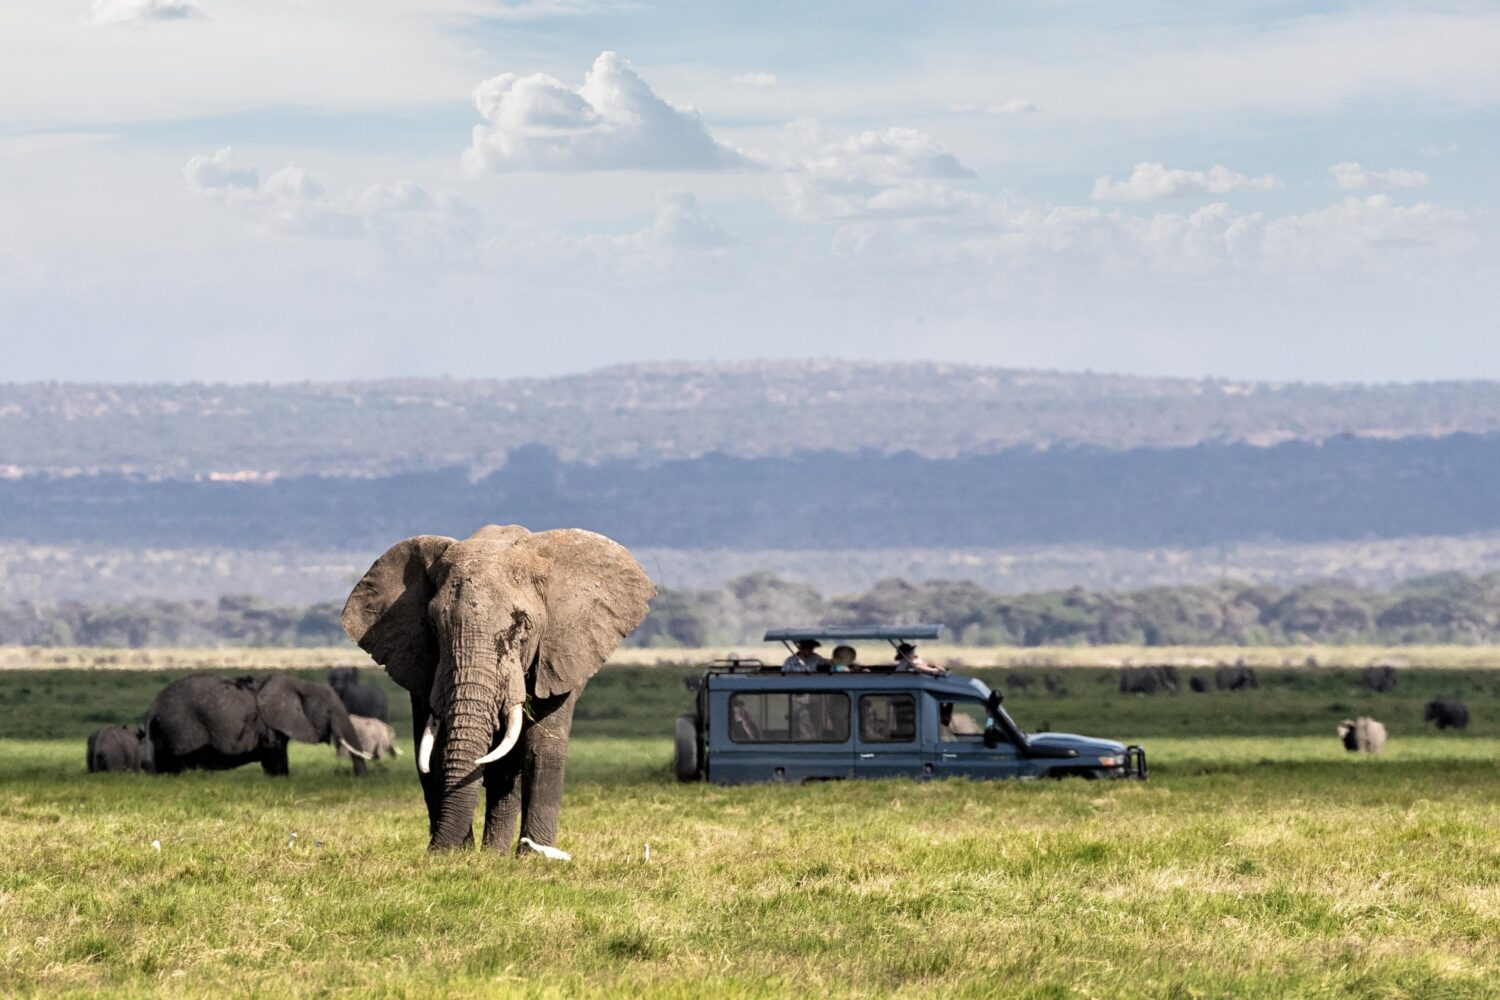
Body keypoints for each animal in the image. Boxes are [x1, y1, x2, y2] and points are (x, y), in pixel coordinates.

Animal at [143, 677, 372, 779]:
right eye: (329, 711)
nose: (358, 778)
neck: (300, 684)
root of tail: (152, 707)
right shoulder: (268, 725)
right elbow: (274, 753)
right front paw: (279, 779)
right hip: (180, 727)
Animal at [343, 521, 654, 857]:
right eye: (434, 625)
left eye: (523, 626)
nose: (437, 850)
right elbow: (433, 750)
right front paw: (452, 855)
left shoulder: (561, 656)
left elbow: (539, 749)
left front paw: (533, 858)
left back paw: (497, 855)